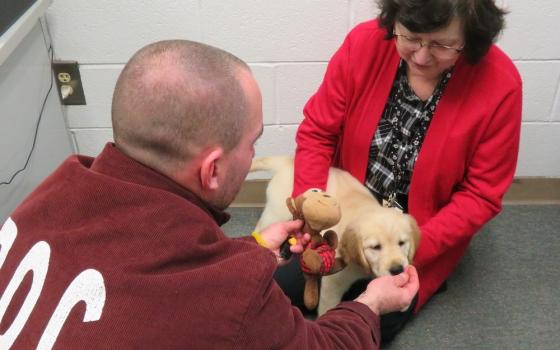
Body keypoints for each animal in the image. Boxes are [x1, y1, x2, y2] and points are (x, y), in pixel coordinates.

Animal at [250, 156, 420, 314]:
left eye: (402, 243)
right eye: (375, 247)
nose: (397, 270)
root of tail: (288, 160)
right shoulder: (333, 282)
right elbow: (328, 307)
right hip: (276, 213)